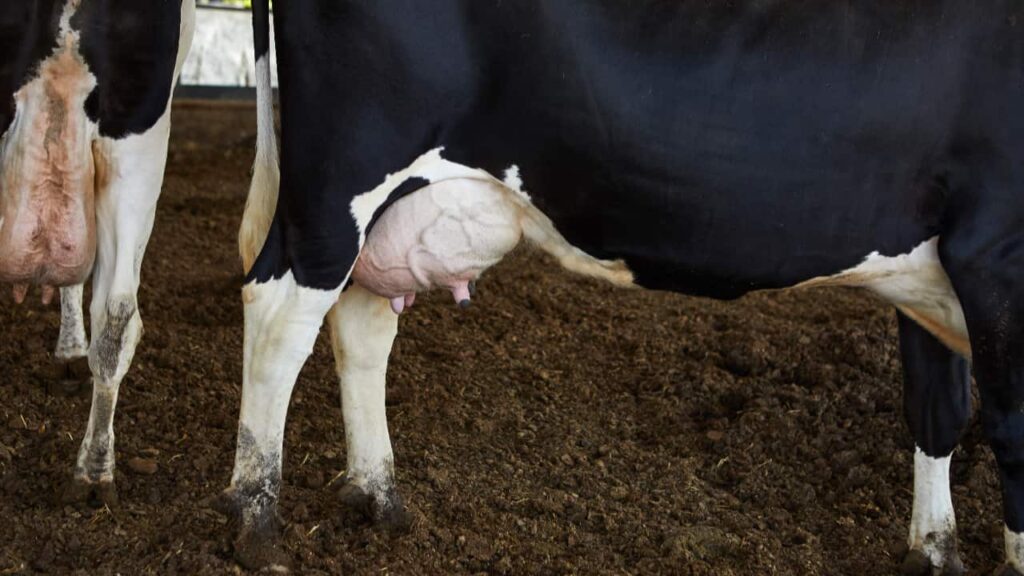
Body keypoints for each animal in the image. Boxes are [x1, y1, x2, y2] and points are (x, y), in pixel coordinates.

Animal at [228, 2, 1024, 569]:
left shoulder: (933, 272)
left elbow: (937, 413)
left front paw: (935, 555)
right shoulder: (996, 255)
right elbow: (1012, 432)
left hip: (387, 204)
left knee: (361, 325)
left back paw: (378, 498)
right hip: (342, 175)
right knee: (277, 315)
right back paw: (255, 521)